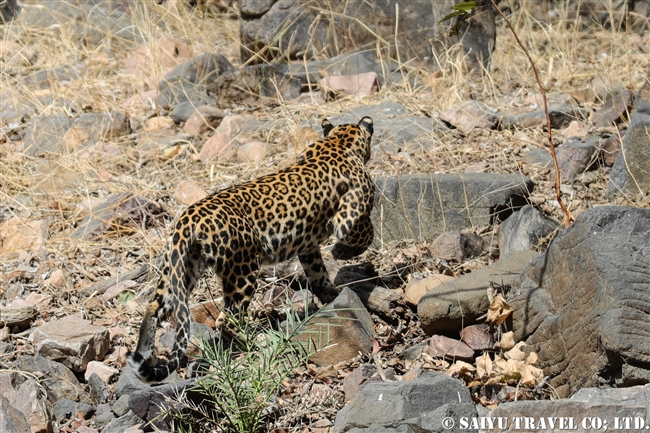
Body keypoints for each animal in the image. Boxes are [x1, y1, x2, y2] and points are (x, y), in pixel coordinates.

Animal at [126, 115, 374, 382]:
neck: (339, 141)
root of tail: (188, 220)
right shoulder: (350, 214)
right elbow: (365, 234)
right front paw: (341, 253)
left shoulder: (308, 247)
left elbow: (318, 274)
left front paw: (331, 295)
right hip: (242, 272)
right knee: (226, 319)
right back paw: (254, 342)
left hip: (181, 269)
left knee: (155, 307)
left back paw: (145, 354)